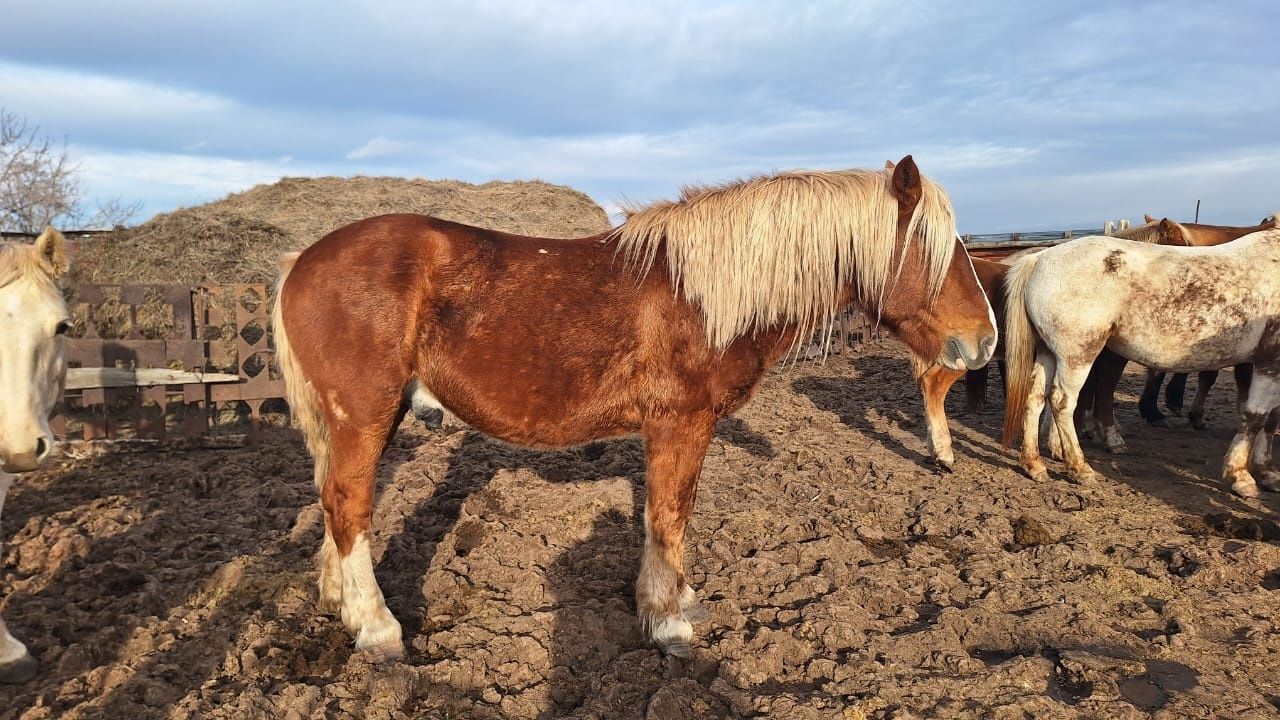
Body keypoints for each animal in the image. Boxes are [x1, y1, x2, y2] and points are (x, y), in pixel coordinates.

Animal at [272, 155, 998, 655]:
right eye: (932, 248)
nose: (985, 340)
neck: (703, 296)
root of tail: (301, 260)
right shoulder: (679, 424)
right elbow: (669, 518)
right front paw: (668, 619)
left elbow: (665, 516)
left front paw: (674, 600)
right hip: (365, 413)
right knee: (350, 505)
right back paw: (377, 628)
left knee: (336, 501)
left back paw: (339, 601)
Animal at [998, 226, 1280, 497]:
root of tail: (1039, 258)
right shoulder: (1269, 362)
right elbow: (1255, 418)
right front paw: (1240, 476)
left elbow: (1270, 420)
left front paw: (1267, 473)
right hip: (1077, 354)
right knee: (1061, 402)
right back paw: (1079, 467)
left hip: (1049, 352)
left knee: (1035, 397)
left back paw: (1033, 463)